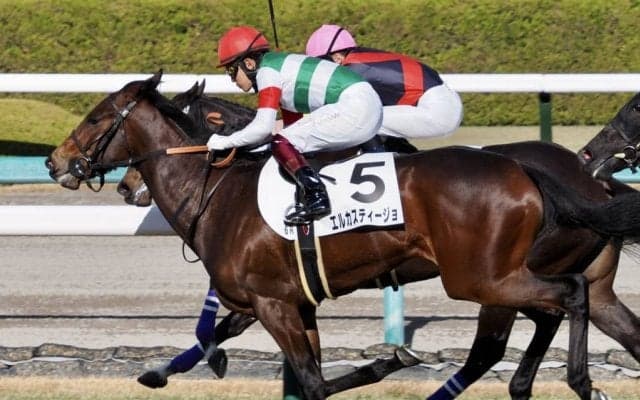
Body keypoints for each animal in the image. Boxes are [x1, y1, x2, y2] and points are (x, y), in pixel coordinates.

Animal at [47, 71, 638, 400]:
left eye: (96, 117)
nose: (55, 161)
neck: (219, 190)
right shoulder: (280, 299)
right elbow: (230, 340)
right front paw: (161, 372)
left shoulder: (274, 304)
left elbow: (311, 381)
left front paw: (387, 360)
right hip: (524, 278)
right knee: (572, 312)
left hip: (480, 280)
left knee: (556, 304)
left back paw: (580, 381)